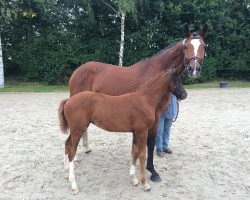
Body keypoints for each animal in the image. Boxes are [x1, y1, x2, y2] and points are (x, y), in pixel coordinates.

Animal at [68, 24, 207, 181]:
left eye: (203, 46)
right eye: (186, 47)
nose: (194, 69)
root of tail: (77, 71)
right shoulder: (155, 116)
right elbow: (149, 143)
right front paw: (152, 171)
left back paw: (86, 148)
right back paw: (75, 157)